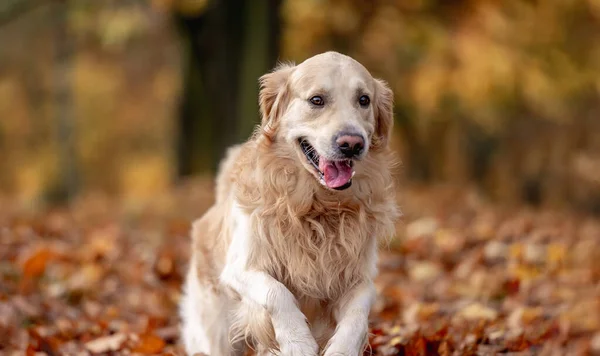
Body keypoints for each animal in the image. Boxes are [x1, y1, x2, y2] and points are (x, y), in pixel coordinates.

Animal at [180, 51, 400, 354]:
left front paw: (341, 348)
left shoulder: (360, 278)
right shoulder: (240, 268)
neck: (316, 206)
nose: (352, 144)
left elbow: (358, 315)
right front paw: (298, 342)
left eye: (364, 99)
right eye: (317, 100)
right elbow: (277, 292)